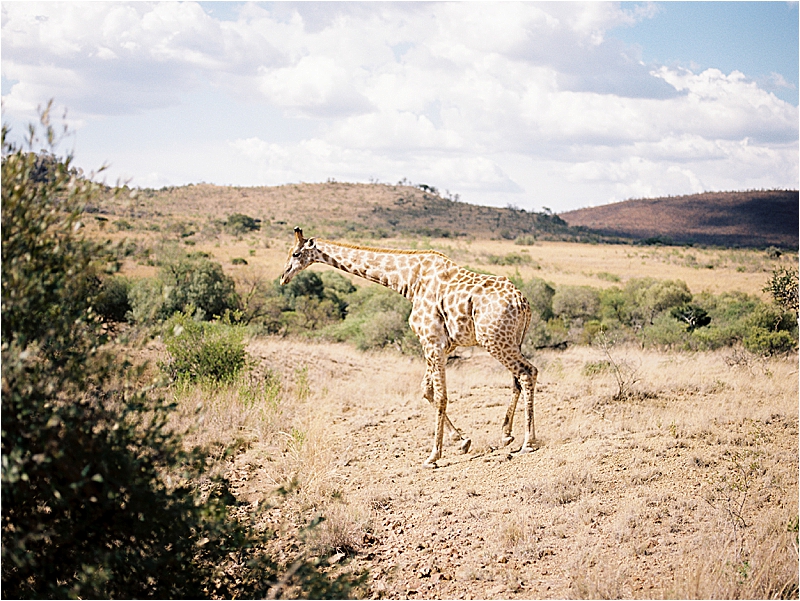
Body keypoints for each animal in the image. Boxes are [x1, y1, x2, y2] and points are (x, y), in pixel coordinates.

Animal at [280, 227, 539, 468]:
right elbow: (427, 391)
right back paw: (507, 435)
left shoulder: (432, 341)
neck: (409, 281)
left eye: (296, 253)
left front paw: (433, 456)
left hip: (493, 339)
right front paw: (462, 441)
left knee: (527, 372)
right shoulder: (442, 346)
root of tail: (523, 302)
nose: (283, 277)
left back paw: (528, 442)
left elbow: (441, 396)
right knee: (518, 378)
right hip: (512, 339)